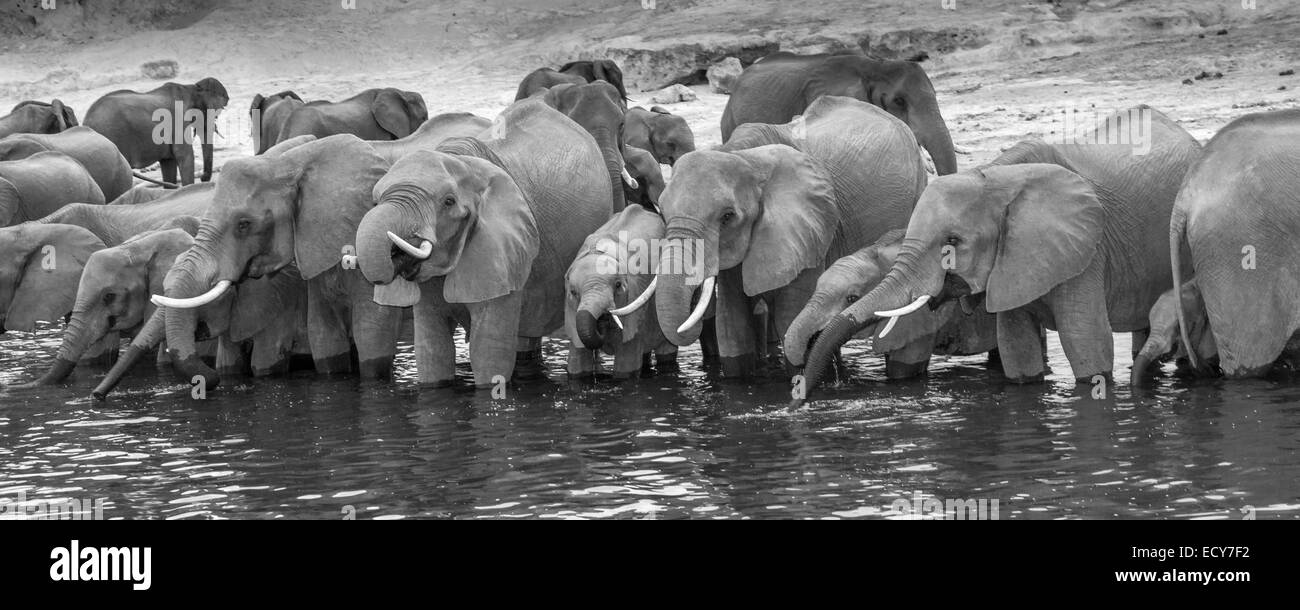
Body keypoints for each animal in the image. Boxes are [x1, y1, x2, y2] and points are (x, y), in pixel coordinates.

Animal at [84, 77, 230, 186]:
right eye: (216, 114)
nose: (203, 178)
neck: (192, 88)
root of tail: (86, 122)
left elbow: (168, 161)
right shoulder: (178, 120)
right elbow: (185, 156)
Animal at [354, 97, 611, 387]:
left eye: (448, 202)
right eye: (375, 201)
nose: (396, 254)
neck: (460, 162)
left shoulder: (503, 249)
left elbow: (488, 351)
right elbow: (432, 348)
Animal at [565, 205, 677, 380]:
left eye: (618, 285)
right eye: (573, 292)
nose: (601, 322)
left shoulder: (636, 302)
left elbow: (626, 367)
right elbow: (577, 364)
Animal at [626, 96, 926, 378]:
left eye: (727, 217)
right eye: (663, 211)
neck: (744, 155)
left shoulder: (810, 232)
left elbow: (789, 318)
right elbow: (733, 327)